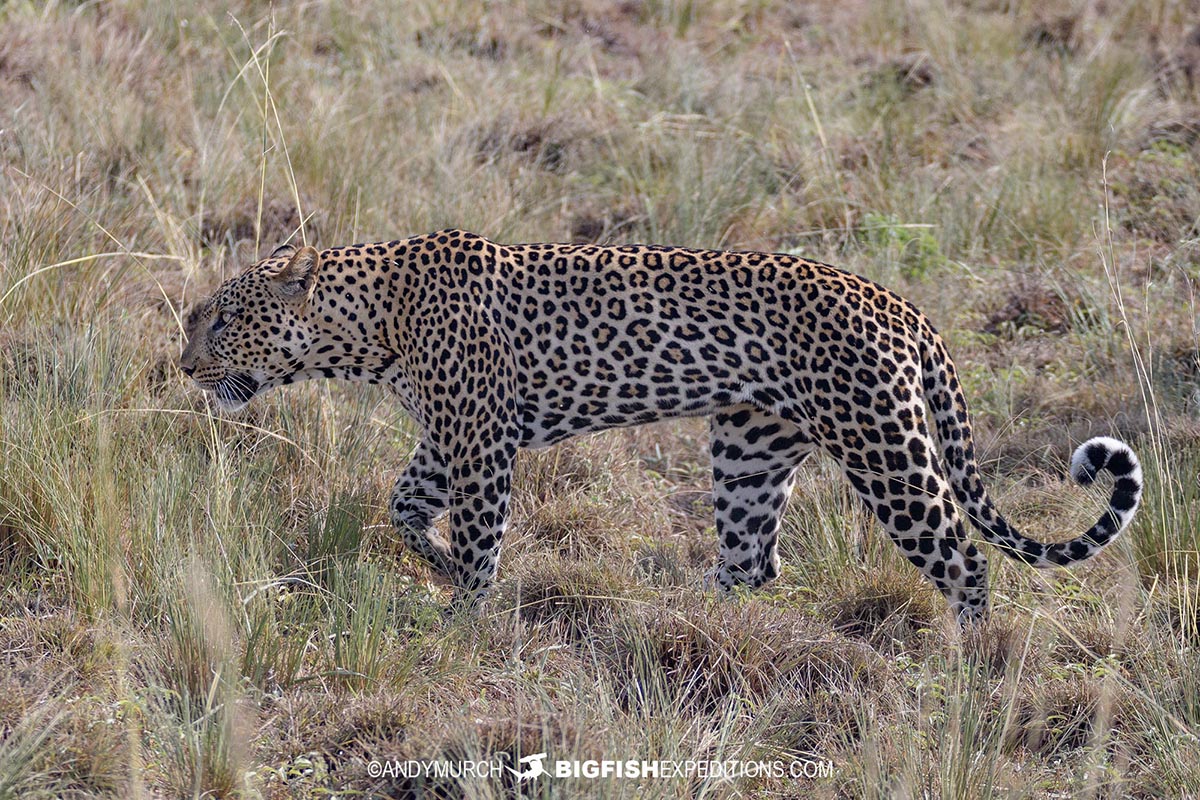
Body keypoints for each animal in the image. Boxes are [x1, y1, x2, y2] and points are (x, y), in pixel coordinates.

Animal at [177, 227, 1142, 623]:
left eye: (220, 319)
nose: (184, 367)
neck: (370, 323)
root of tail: (899, 304)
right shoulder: (446, 437)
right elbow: (402, 507)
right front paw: (440, 568)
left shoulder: (481, 441)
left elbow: (482, 536)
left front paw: (467, 615)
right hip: (749, 447)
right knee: (753, 564)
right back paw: (688, 631)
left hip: (885, 448)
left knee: (965, 560)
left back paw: (967, 667)